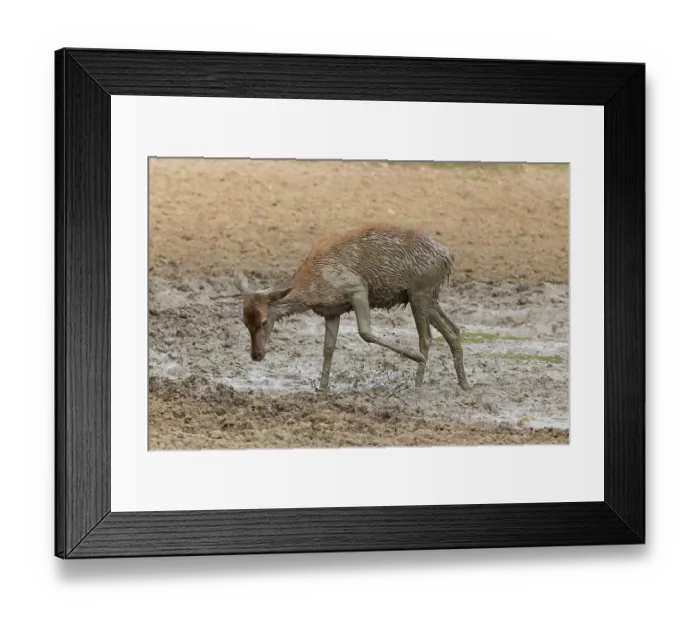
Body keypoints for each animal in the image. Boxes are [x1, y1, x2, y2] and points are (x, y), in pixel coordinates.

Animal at [230, 224, 470, 392]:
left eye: (264, 321)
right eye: (244, 321)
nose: (256, 355)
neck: (314, 287)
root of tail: (449, 256)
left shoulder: (357, 288)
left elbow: (365, 332)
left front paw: (416, 357)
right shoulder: (332, 310)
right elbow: (328, 348)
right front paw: (322, 388)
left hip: (420, 291)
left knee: (426, 336)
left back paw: (418, 381)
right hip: (428, 296)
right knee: (453, 330)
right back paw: (464, 384)